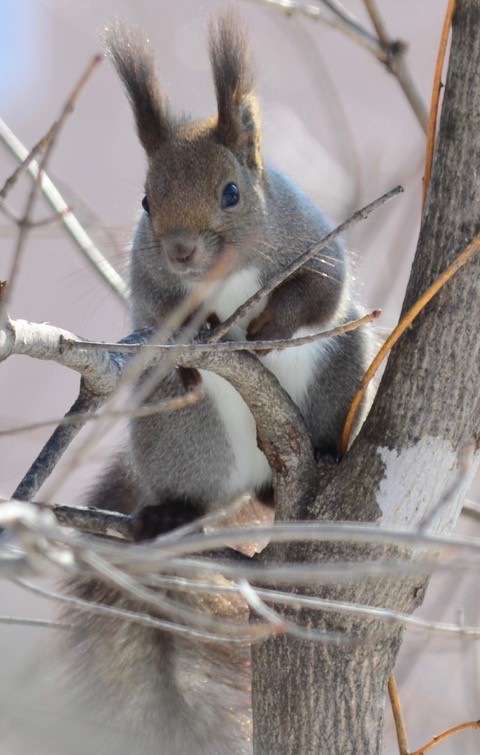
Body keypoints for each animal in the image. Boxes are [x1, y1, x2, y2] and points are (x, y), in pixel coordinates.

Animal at [60, 13, 374, 755]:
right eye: (147, 200)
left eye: (232, 192)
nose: (181, 251)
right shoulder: (149, 291)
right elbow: (155, 323)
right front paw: (192, 334)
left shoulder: (313, 242)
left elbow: (318, 294)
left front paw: (268, 322)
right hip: (183, 435)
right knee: (198, 484)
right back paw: (173, 513)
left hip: (340, 373)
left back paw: (324, 452)